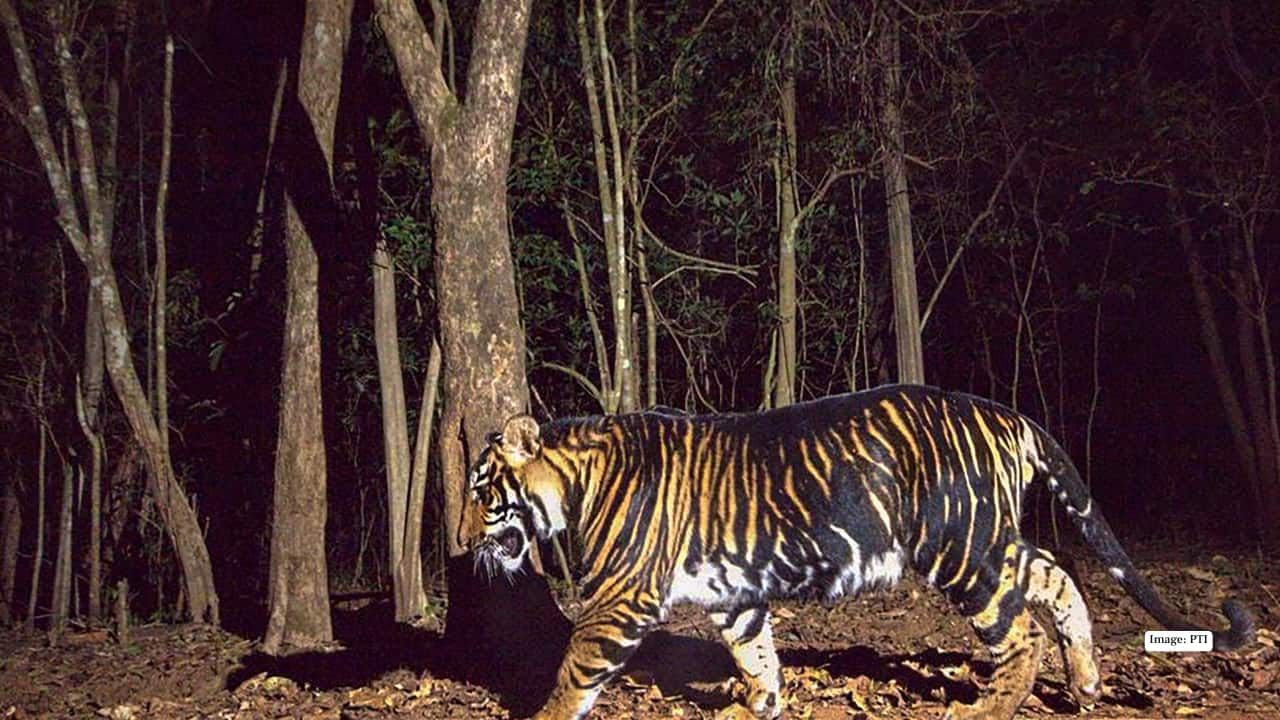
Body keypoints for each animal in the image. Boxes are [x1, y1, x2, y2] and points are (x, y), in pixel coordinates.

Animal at [460, 384, 1254, 720]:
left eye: (481, 490)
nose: (461, 541)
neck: (575, 484)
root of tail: (1009, 413)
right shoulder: (733, 594)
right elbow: (755, 653)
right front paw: (759, 705)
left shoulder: (619, 600)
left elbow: (573, 674)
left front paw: (544, 718)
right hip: (990, 540)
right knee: (1059, 581)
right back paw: (1085, 682)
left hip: (960, 550)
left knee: (1020, 632)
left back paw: (986, 710)